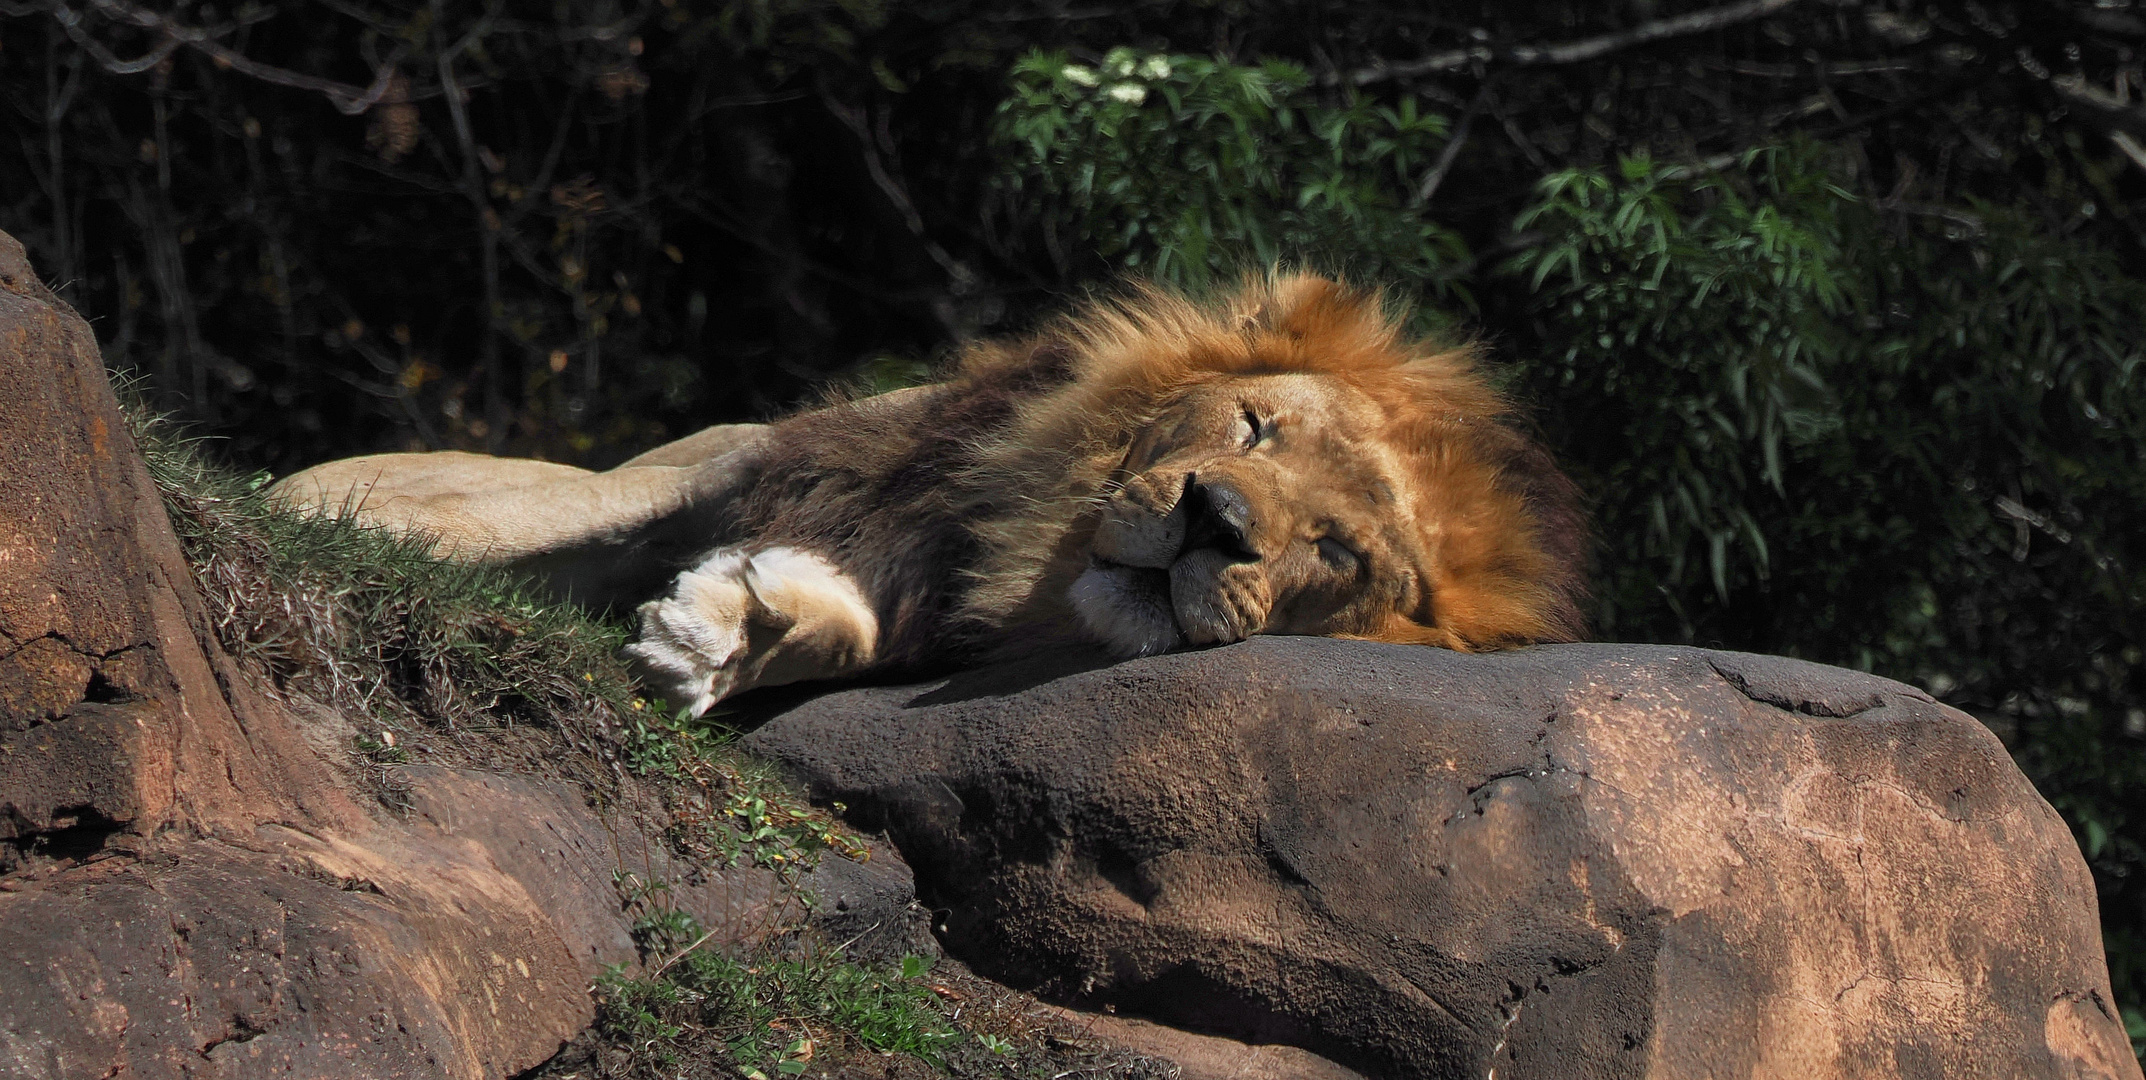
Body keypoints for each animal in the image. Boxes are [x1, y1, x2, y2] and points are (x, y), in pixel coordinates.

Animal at [268, 276, 1588, 717]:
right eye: (1256, 425)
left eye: (1338, 552)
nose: (1215, 522)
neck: (1019, 553)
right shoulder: (751, 455)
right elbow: (518, 522)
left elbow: (839, 631)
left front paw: (730, 630)